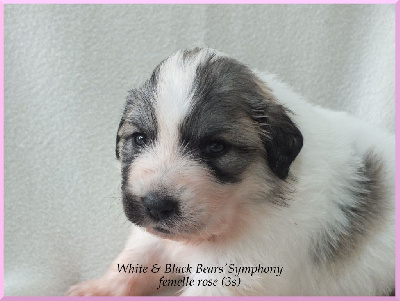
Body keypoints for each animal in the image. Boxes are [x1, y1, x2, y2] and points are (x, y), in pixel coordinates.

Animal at [65, 47, 394, 296]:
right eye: (140, 138)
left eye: (215, 147)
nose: (156, 205)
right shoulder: (152, 237)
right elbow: (135, 259)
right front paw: (98, 289)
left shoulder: (238, 273)